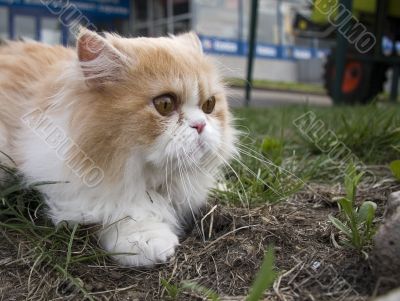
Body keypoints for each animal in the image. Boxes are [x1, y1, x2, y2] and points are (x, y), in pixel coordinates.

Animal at [0, 29, 236, 264]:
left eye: (209, 105)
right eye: (165, 104)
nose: (200, 124)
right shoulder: (70, 187)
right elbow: (117, 211)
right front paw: (148, 239)